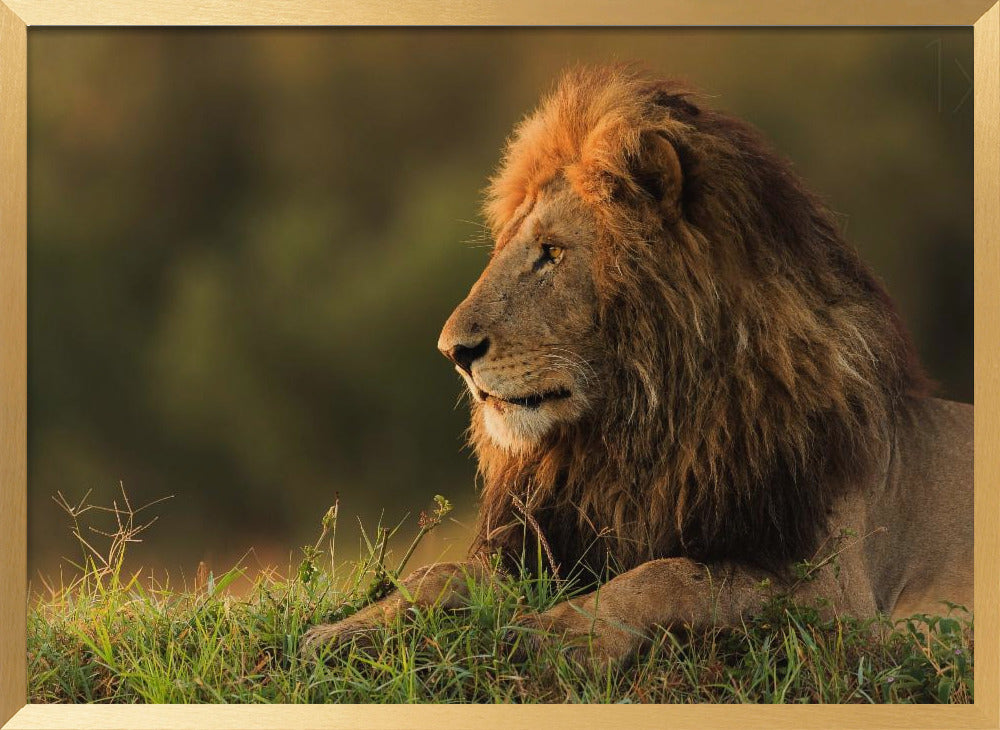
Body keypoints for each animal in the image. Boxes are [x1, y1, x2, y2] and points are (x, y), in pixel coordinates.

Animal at [300, 65, 972, 664]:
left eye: (552, 253)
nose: (453, 352)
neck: (637, 434)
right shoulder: (556, 545)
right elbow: (439, 574)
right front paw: (341, 632)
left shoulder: (837, 596)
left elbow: (673, 575)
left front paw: (556, 634)